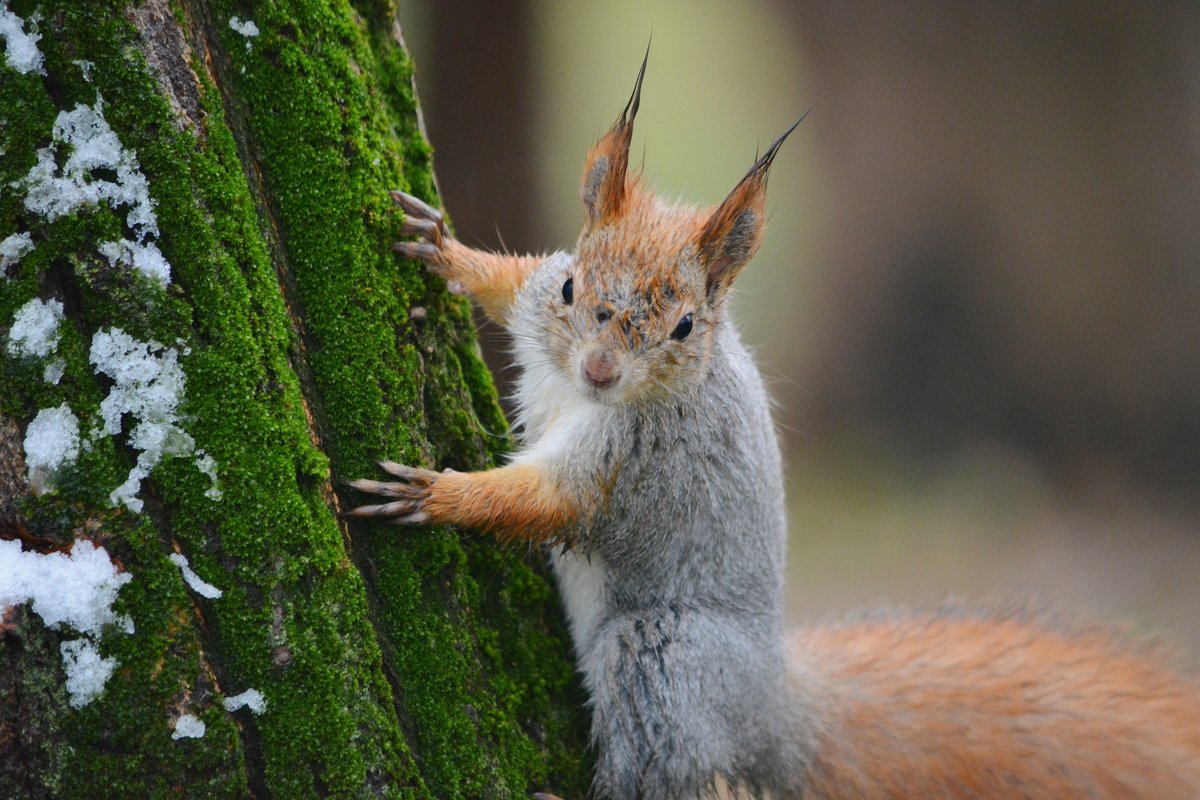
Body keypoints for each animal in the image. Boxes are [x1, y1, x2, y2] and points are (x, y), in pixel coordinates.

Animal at [350, 50, 1200, 800]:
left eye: (685, 326)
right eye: (570, 286)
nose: (600, 368)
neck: (585, 395)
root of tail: (774, 712)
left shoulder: (633, 467)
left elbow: (542, 500)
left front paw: (436, 495)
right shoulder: (539, 318)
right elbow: (507, 284)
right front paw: (442, 247)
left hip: (666, 658)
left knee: (662, 763)